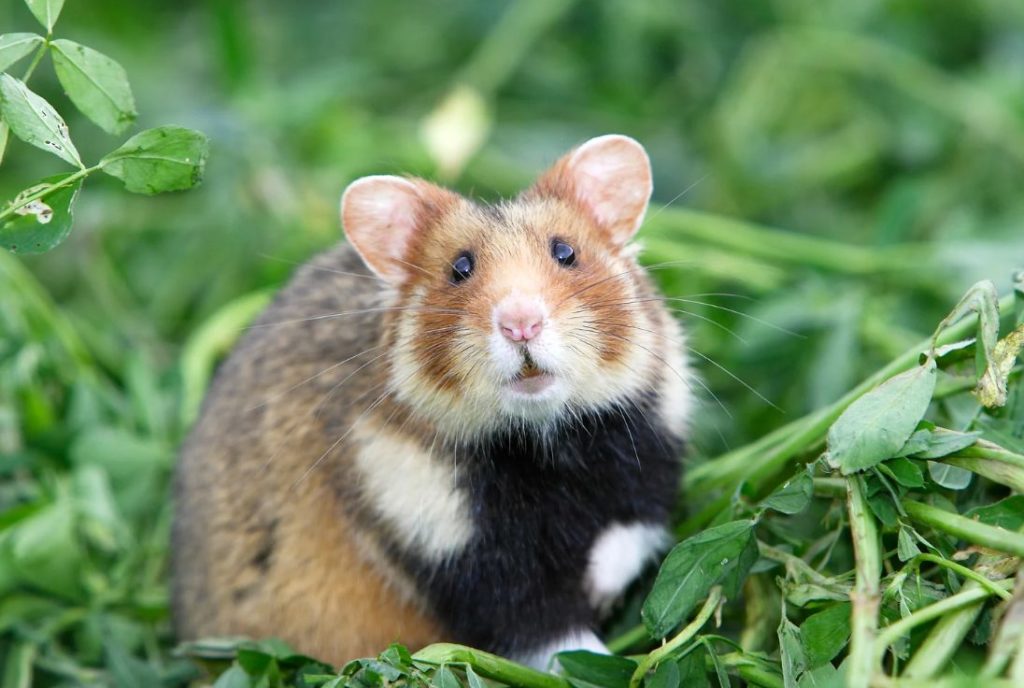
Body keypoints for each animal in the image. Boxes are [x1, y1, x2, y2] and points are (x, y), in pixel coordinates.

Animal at [172, 135, 694, 668]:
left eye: (565, 251)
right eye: (459, 269)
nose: (520, 324)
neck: (542, 437)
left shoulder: (650, 457)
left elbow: (631, 533)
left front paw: (600, 589)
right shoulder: (449, 539)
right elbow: (549, 634)